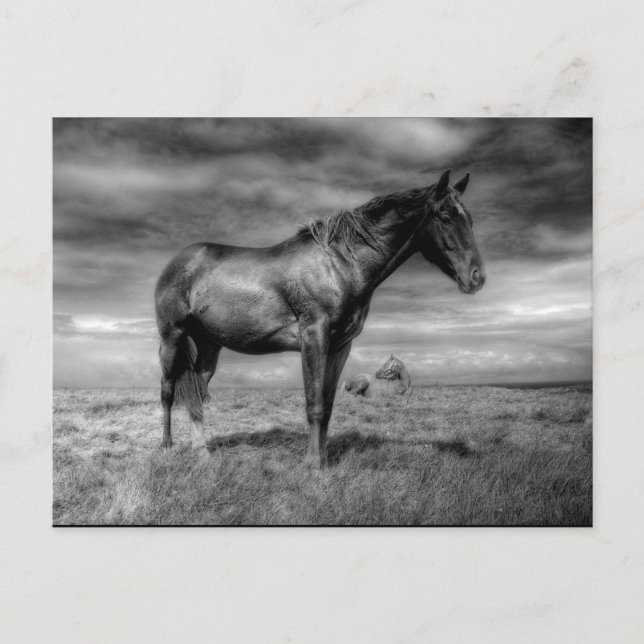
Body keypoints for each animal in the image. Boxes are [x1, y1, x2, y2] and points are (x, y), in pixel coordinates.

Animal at [154, 169, 485, 469]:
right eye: (444, 216)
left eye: (469, 219)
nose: (476, 277)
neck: (340, 264)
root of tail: (178, 262)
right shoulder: (314, 336)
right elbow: (313, 404)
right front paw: (312, 465)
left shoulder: (340, 346)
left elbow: (326, 406)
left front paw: (324, 460)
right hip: (173, 337)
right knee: (168, 390)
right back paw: (168, 446)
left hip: (210, 346)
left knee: (197, 389)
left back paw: (202, 451)